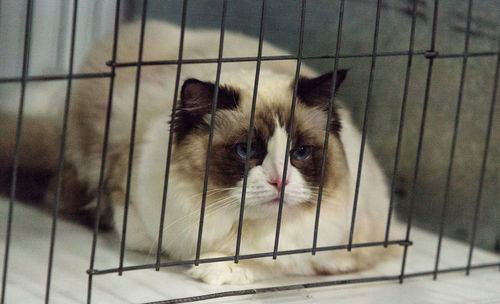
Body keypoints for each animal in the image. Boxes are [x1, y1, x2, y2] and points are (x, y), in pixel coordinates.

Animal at [0, 22, 398, 284]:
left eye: (300, 152)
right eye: (245, 150)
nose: (280, 181)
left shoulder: (342, 253)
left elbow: (277, 262)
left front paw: (217, 269)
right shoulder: (132, 213)